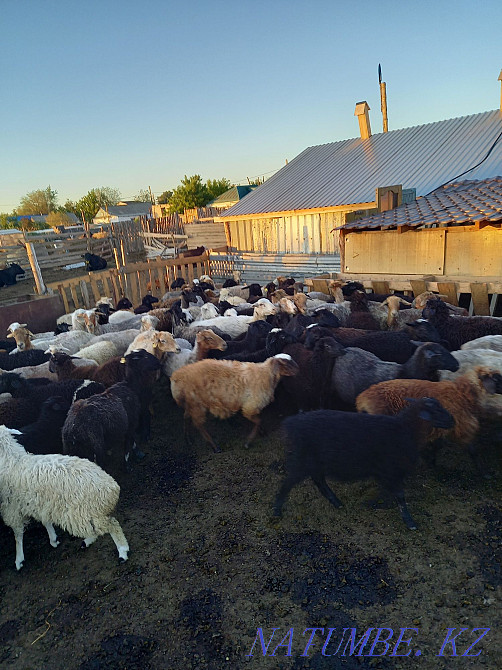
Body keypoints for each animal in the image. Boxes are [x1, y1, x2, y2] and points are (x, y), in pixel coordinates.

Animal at [0, 425, 128, 569]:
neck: (11, 459)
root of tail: (111, 487)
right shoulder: (40, 503)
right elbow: (45, 521)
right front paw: (53, 539)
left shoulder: (11, 508)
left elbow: (17, 534)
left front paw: (19, 559)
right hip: (86, 513)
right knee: (97, 528)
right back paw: (87, 541)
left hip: (82, 512)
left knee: (112, 524)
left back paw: (122, 551)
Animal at [171, 354, 299, 452]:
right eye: (286, 363)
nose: (299, 370)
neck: (265, 374)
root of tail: (176, 377)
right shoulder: (250, 407)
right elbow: (258, 421)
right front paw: (248, 441)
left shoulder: (253, 407)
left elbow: (259, 419)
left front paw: (262, 431)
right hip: (196, 404)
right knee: (198, 424)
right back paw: (214, 446)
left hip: (191, 404)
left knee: (186, 417)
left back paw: (188, 438)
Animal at [273, 397, 454, 529]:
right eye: (436, 410)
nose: (452, 420)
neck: (406, 429)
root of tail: (291, 423)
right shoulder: (391, 470)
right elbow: (400, 496)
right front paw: (409, 521)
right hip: (301, 460)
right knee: (288, 483)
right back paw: (277, 510)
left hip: (314, 462)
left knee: (319, 481)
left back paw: (336, 502)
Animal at [356, 366, 502, 474]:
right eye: (497, 378)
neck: (462, 393)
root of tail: (362, 399)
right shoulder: (461, 426)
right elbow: (472, 450)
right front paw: (484, 473)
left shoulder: (443, 426)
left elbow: (438, 446)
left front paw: (432, 463)